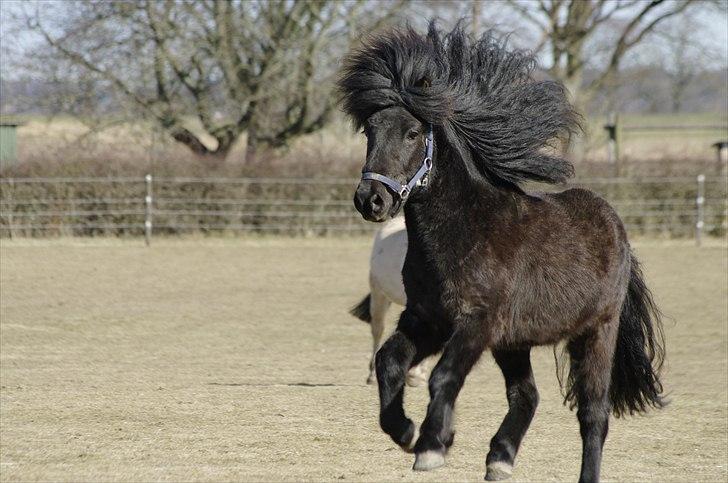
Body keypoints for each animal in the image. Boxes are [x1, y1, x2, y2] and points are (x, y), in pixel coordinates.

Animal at [336, 20, 664, 482]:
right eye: (370, 130)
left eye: (413, 133)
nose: (372, 200)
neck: (466, 231)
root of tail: (616, 228)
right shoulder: (427, 318)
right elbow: (389, 361)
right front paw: (405, 430)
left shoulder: (477, 322)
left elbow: (443, 376)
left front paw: (434, 444)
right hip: (515, 342)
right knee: (527, 394)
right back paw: (500, 457)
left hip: (596, 332)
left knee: (594, 416)